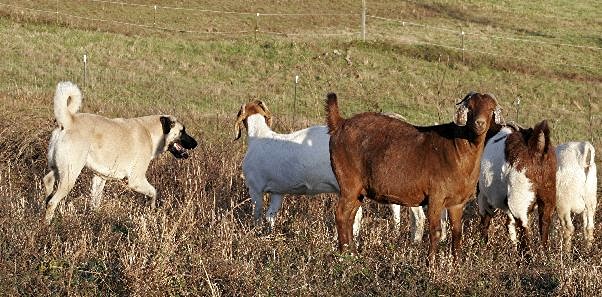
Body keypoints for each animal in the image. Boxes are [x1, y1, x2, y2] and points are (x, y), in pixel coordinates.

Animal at [42, 80, 197, 222]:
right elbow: (154, 192)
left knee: (47, 182)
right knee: (52, 202)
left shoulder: (99, 178)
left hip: (59, 169)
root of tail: (69, 121)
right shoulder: (136, 180)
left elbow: (95, 203)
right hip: (70, 175)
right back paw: (47, 225)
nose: (196, 143)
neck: (150, 132)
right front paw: (152, 210)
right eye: (182, 131)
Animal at [326, 91, 500, 262]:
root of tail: (340, 123)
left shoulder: (457, 202)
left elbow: (457, 232)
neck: (457, 147)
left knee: (350, 217)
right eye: (470, 108)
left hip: (359, 190)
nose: (479, 123)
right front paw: (431, 264)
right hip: (348, 183)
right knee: (341, 215)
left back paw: (353, 254)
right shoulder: (436, 196)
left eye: (491, 109)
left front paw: (456, 263)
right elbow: (435, 231)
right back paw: (343, 256)